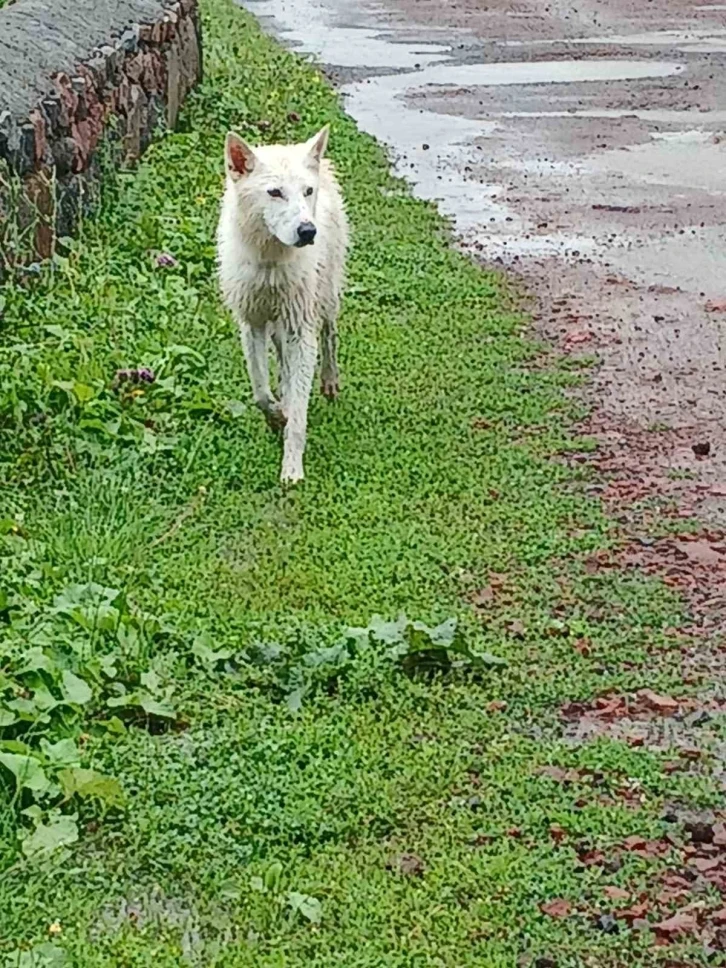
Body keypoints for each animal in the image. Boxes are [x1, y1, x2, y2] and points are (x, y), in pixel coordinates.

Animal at [216, 125, 350, 480]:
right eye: (274, 192)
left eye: (307, 191)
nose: (307, 231)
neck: (271, 263)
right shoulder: (252, 325)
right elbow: (261, 391)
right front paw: (276, 414)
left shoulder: (302, 329)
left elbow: (299, 413)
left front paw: (292, 467)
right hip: (278, 326)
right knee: (283, 361)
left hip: (325, 297)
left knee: (329, 335)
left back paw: (329, 381)